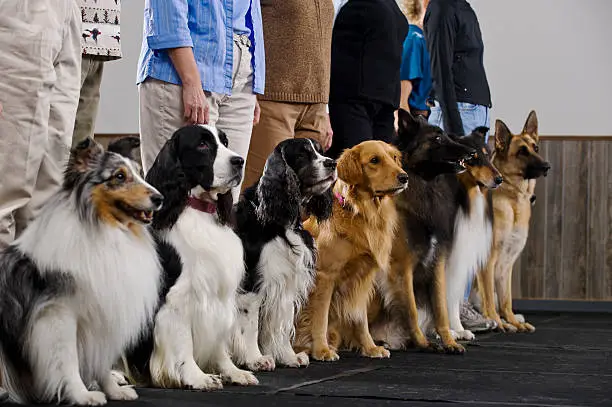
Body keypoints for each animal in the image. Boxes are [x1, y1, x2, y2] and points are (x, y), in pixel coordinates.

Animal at [294, 141, 408, 364]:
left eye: (394, 158)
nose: (404, 177)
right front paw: (322, 350)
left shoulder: (362, 278)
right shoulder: (325, 277)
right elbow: (319, 318)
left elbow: (360, 319)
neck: (361, 213)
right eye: (374, 160)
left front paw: (370, 348)